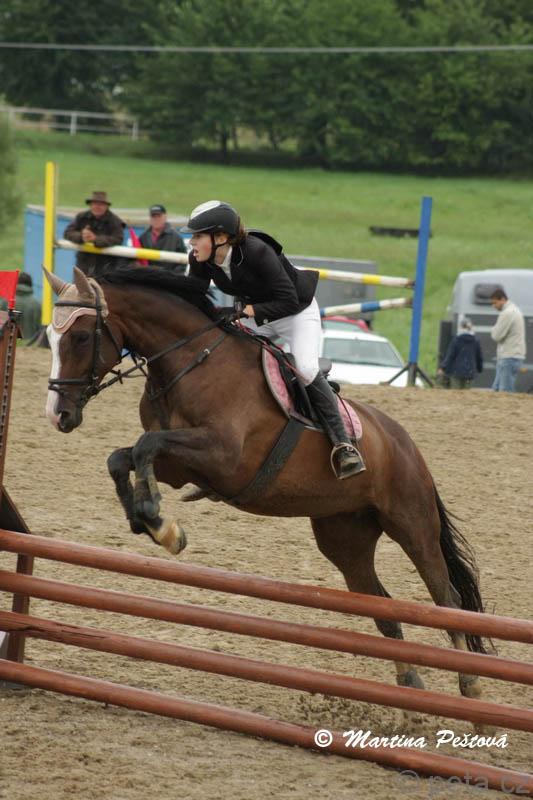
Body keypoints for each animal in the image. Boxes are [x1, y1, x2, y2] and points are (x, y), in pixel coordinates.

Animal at [44, 265, 487, 705]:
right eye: (49, 336)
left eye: (80, 336)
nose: (58, 415)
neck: (191, 361)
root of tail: (405, 443)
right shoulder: (182, 466)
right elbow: (125, 456)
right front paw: (153, 525)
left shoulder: (221, 456)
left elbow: (144, 446)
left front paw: (158, 521)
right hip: (345, 537)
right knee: (384, 610)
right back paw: (410, 681)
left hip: (412, 525)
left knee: (446, 599)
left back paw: (469, 683)